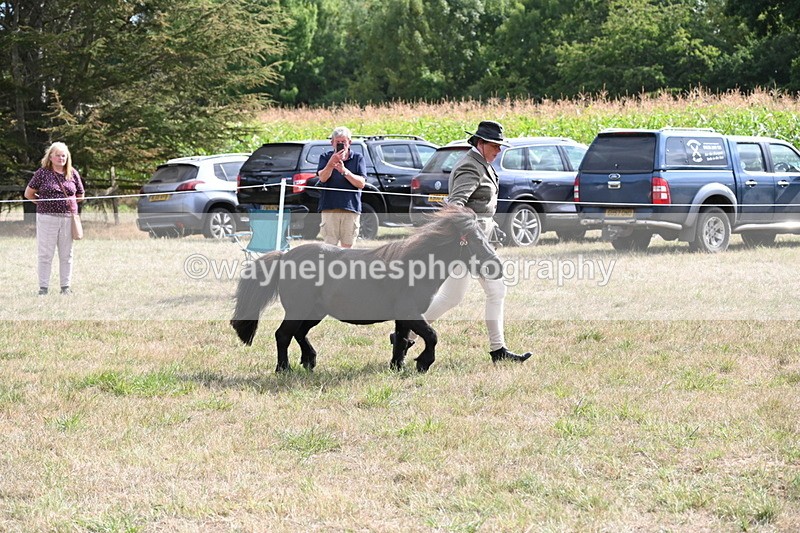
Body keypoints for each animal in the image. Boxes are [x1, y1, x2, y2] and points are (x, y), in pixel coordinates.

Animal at [230, 205, 503, 373]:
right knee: (283, 335)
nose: (497, 268)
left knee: (299, 334)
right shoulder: (411, 313)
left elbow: (401, 340)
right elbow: (431, 335)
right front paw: (423, 364)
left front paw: (397, 366)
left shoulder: (404, 317)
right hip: (298, 310)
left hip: (314, 313)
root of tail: (285, 257)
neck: (414, 267)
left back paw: (309, 362)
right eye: (475, 241)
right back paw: (283, 368)